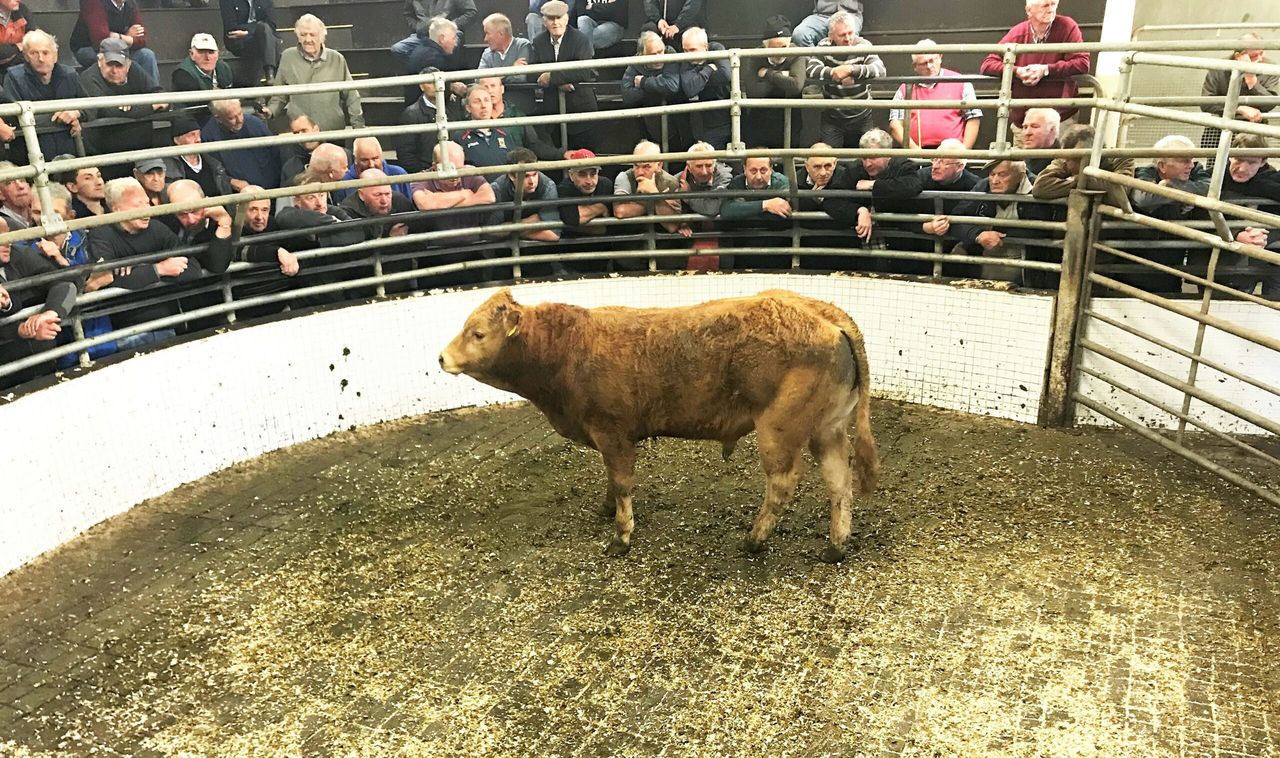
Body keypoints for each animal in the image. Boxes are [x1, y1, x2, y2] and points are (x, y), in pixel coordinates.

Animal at [438, 288, 880, 563]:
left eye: (478, 332)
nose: (442, 357)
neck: (567, 349)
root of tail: (824, 313)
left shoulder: (613, 432)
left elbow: (621, 482)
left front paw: (621, 535)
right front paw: (607, 509)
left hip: (778, 430)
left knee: (783, 484)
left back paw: (754, 539)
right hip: (827, 427)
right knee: (839, 483)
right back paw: (836, 546)